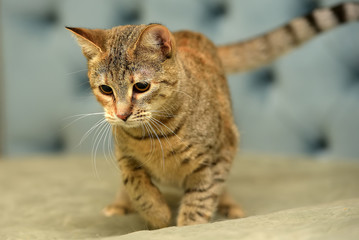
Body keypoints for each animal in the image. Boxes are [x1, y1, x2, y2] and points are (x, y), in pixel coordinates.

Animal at [68, 1, 359, 228]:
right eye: (106, 89)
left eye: (141, 86)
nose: (121, 115)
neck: (154, 136)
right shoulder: (126, 159)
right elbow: (137, 187)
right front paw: (157, 214)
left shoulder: (217, 157)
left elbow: (201, 198)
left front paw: (186, 225)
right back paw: (120, 204)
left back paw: (230, 205)